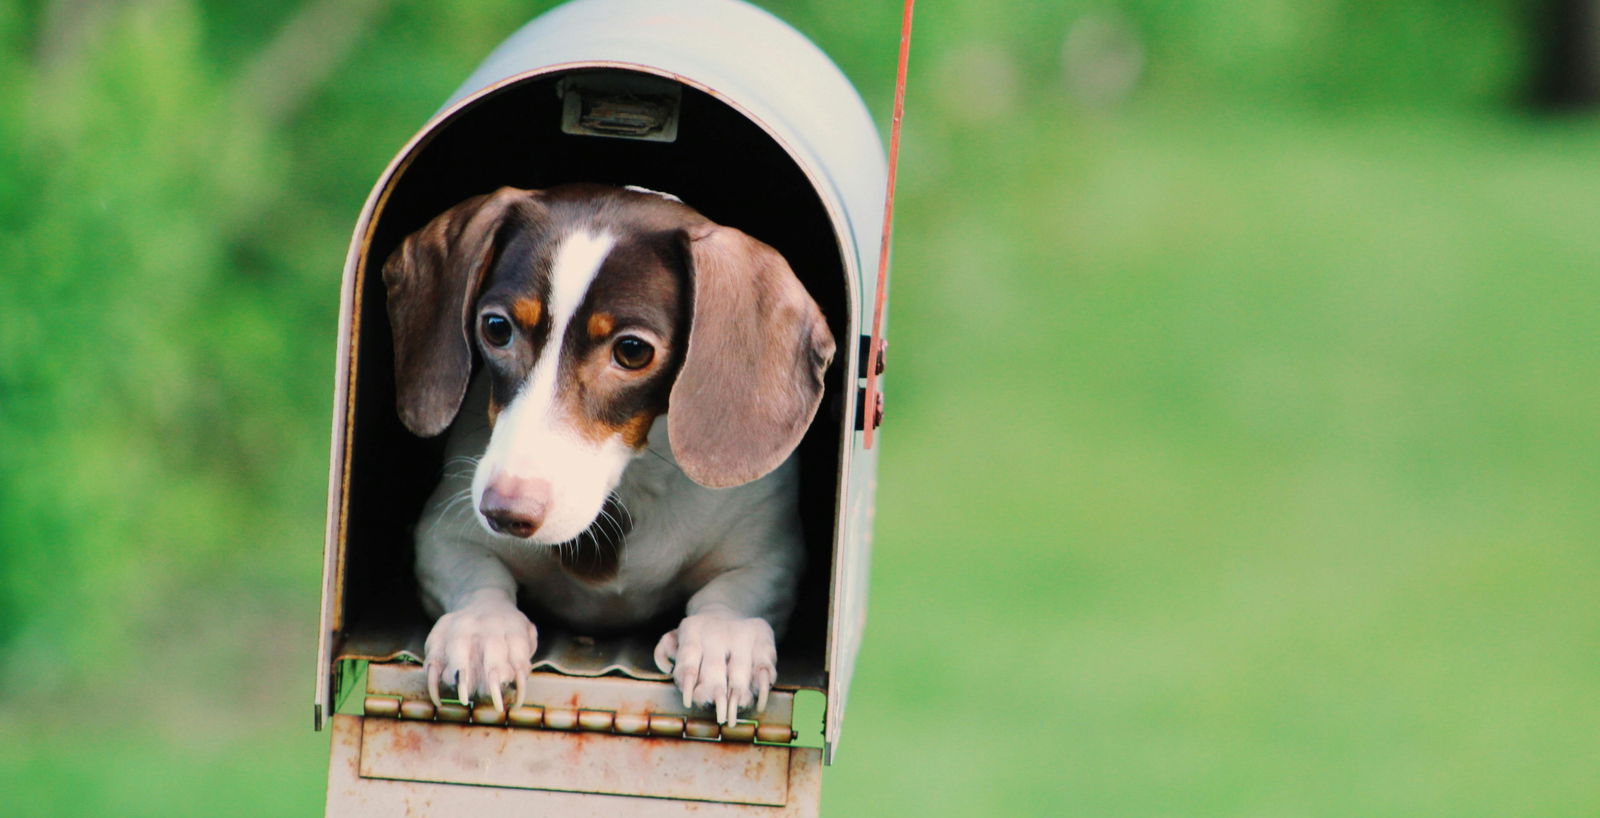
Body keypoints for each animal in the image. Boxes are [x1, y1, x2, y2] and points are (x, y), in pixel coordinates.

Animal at [382, 184, 838, 723]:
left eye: (633, 351)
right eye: (495, 327)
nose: (504, 513)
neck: (631, 482)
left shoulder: (770, 555)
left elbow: (732, 593)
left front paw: (725, 642)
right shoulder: (443, 534)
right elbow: (477, 576)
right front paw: (480, 630)